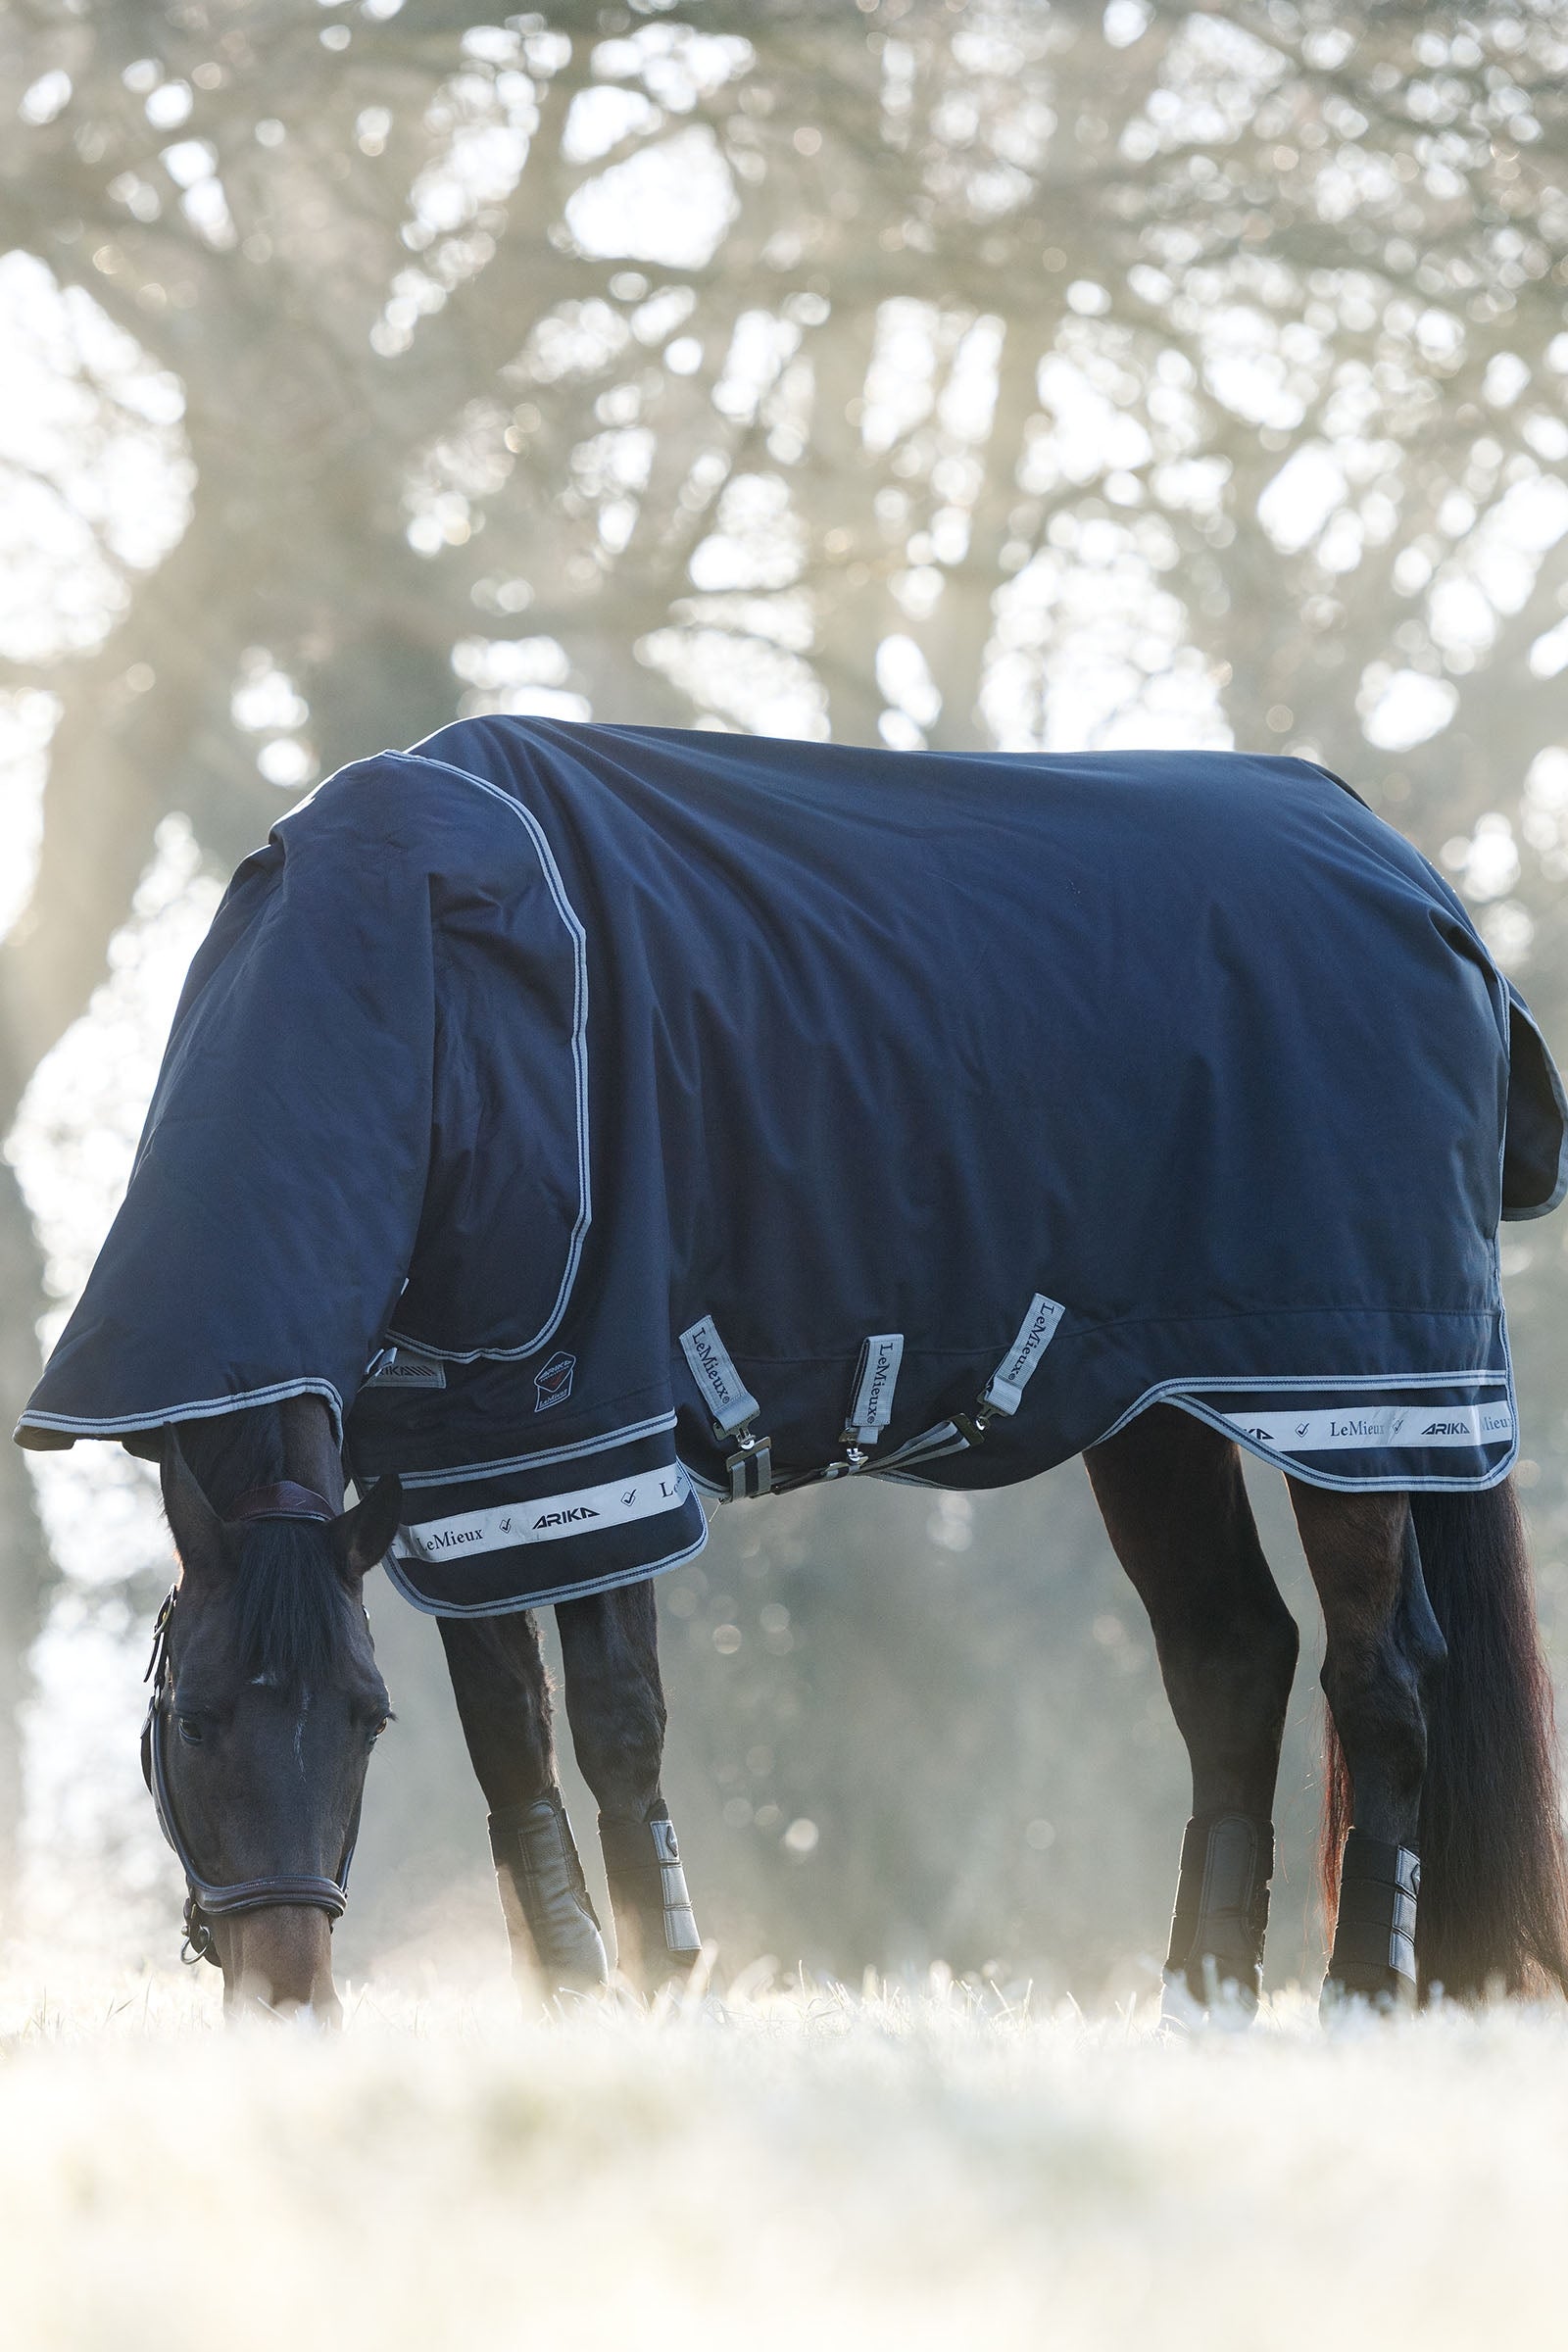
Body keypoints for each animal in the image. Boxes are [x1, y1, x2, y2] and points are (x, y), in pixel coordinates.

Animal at [19, 721, 1568, 2018]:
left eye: (356, 1720)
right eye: (195, 1719)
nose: (288, 2000)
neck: (433, 987)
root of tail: (1411, 878)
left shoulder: (598, 1426)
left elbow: (617, 1724)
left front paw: (659, 1987)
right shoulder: (463, 1464)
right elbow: (511, 1737)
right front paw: (569, 1995)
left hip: (1357, 1401)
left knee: (1383, 1677)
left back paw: (1363, 1993)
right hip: (1162, 1409)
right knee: (1232, 1663)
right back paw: (1201, 2001)